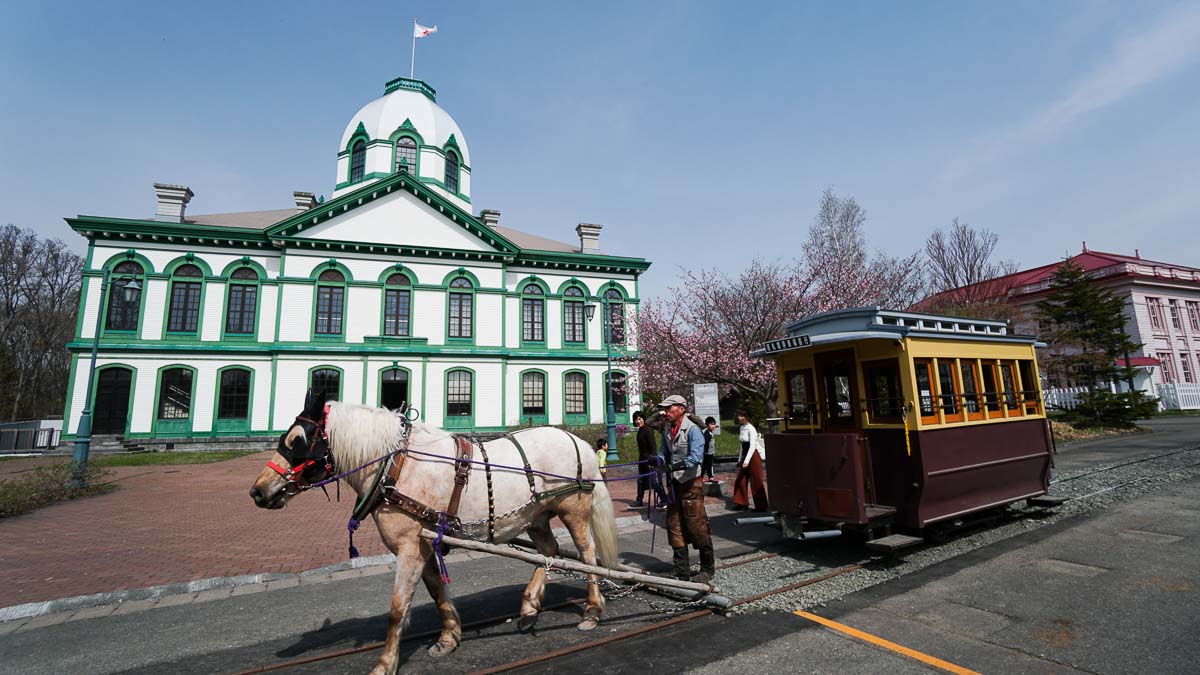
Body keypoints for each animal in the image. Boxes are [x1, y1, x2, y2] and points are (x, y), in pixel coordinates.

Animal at [244, 389, 619, 672]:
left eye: (297, 441)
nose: (258, 491)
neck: (394, 465)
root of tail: (577, 440)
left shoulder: (410, 547)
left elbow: (398, 608)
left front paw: (385, 663)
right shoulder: (424, 544)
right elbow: (436, 591)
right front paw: (449, 636)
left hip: (572, 508)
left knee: (586, 555)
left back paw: (592, 610)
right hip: (535, 515)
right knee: (549, 551)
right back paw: (528, 608)